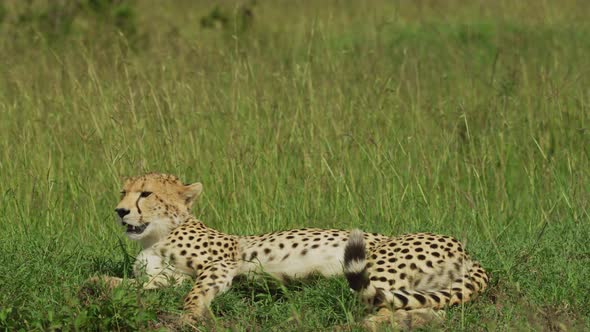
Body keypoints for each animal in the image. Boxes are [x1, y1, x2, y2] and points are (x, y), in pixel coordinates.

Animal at [90, 174, 390, 322]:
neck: (154, 237)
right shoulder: (168, 278)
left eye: (146, 193)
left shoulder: (222, 263)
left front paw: (190, 314)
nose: (120, 211)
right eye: (123, 192)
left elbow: (195, 291)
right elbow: (133, 283)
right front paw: (98, 282)